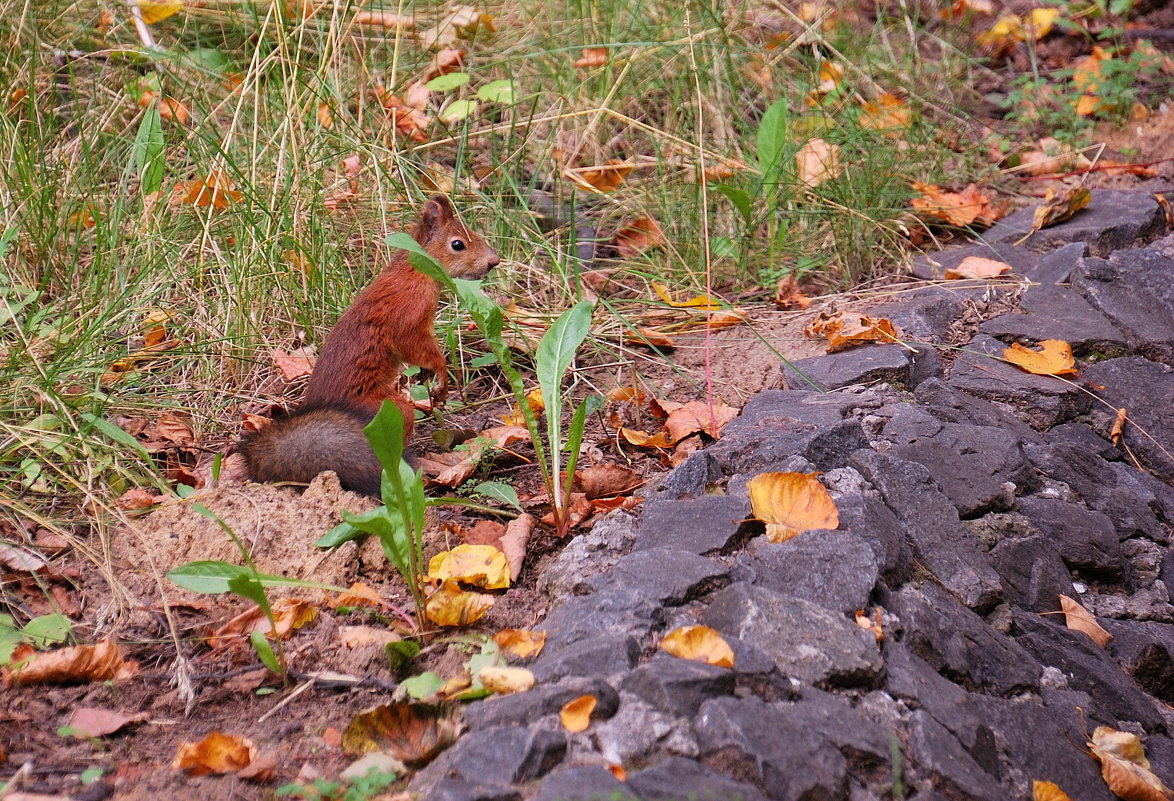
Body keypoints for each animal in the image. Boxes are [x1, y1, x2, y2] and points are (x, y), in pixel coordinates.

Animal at [238, 193, 500, 493]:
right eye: (458, 244)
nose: (494, 261)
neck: (414, 271)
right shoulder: (409, 316)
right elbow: (418, 348)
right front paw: (443, 379)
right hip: (386, 410)